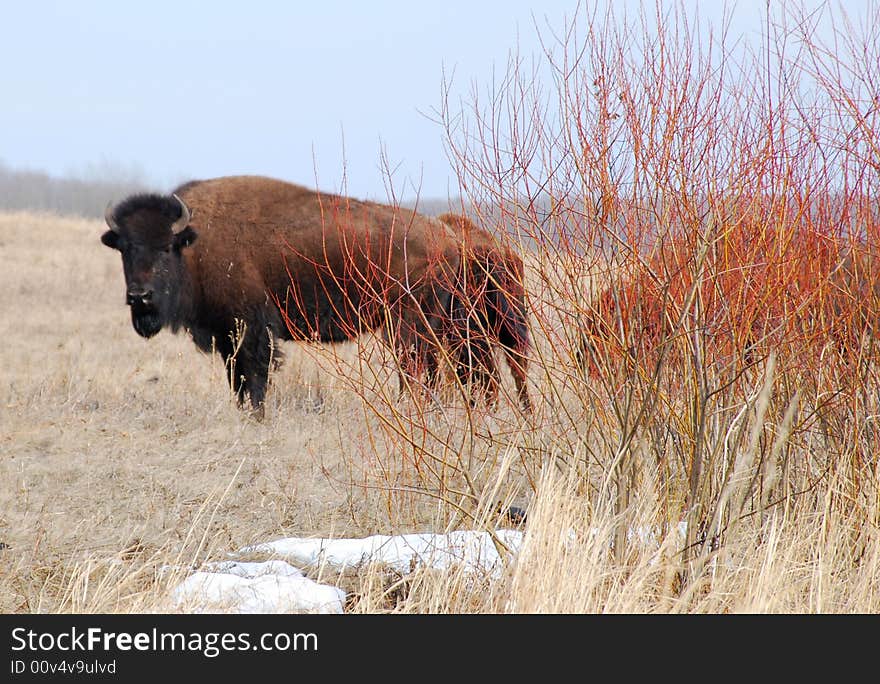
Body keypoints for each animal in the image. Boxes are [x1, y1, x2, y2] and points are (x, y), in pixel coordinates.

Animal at [101, 175, 460, 416]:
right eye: (125, 248)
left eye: (165, 248)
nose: (140, 296)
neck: (195, 243)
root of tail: (446, 237)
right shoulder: (227, 333)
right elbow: (236, 377)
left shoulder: (252, 327)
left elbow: (254, 374)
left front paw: (256, 415)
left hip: (405, 324)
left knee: (415, 368)